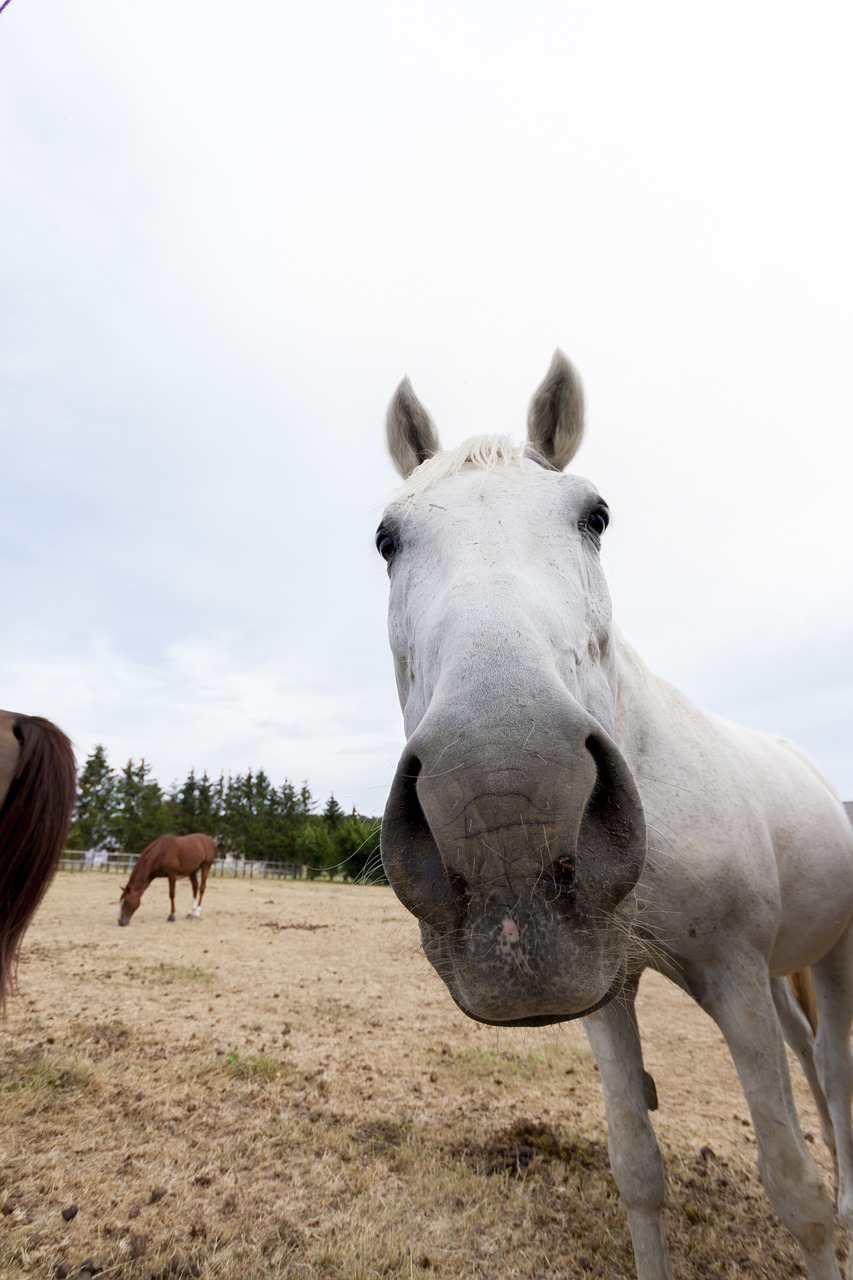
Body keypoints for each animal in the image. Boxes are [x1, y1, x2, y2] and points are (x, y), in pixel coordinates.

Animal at [379, 355, 853, 1280]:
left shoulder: (732, 974)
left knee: (835, 1069)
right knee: (814, 1065)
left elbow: (794, 1191)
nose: (504, 813)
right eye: (386, 539)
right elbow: (637, 1170)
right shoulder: (605, 984)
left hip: (835, 956)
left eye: (594, 517)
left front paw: (822, 1216)